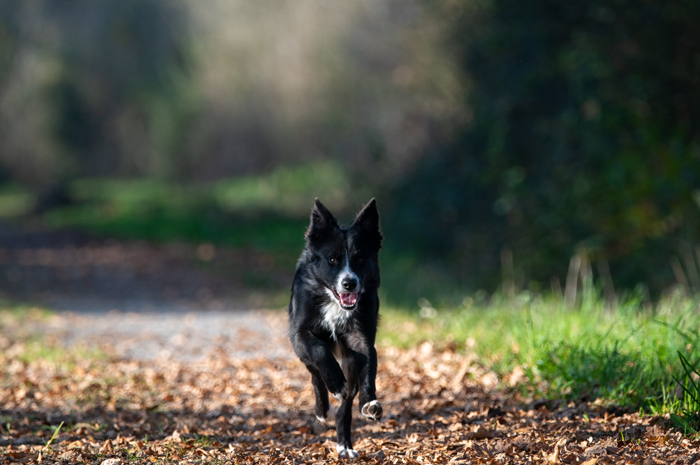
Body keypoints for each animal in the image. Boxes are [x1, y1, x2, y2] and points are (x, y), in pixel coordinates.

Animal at [288, 197, 386, 456]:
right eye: (333, 260)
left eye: (360, 259)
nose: (349, 283)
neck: (334, 301)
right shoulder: (300, 334)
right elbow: (320, 351)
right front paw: (335, 382)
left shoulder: (361, 339)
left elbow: (369, 367)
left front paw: (369, 402)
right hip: (302, 354)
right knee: (315, 376)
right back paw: (323, 410)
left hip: (349, 363)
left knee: (346, 405)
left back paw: (344, 445)